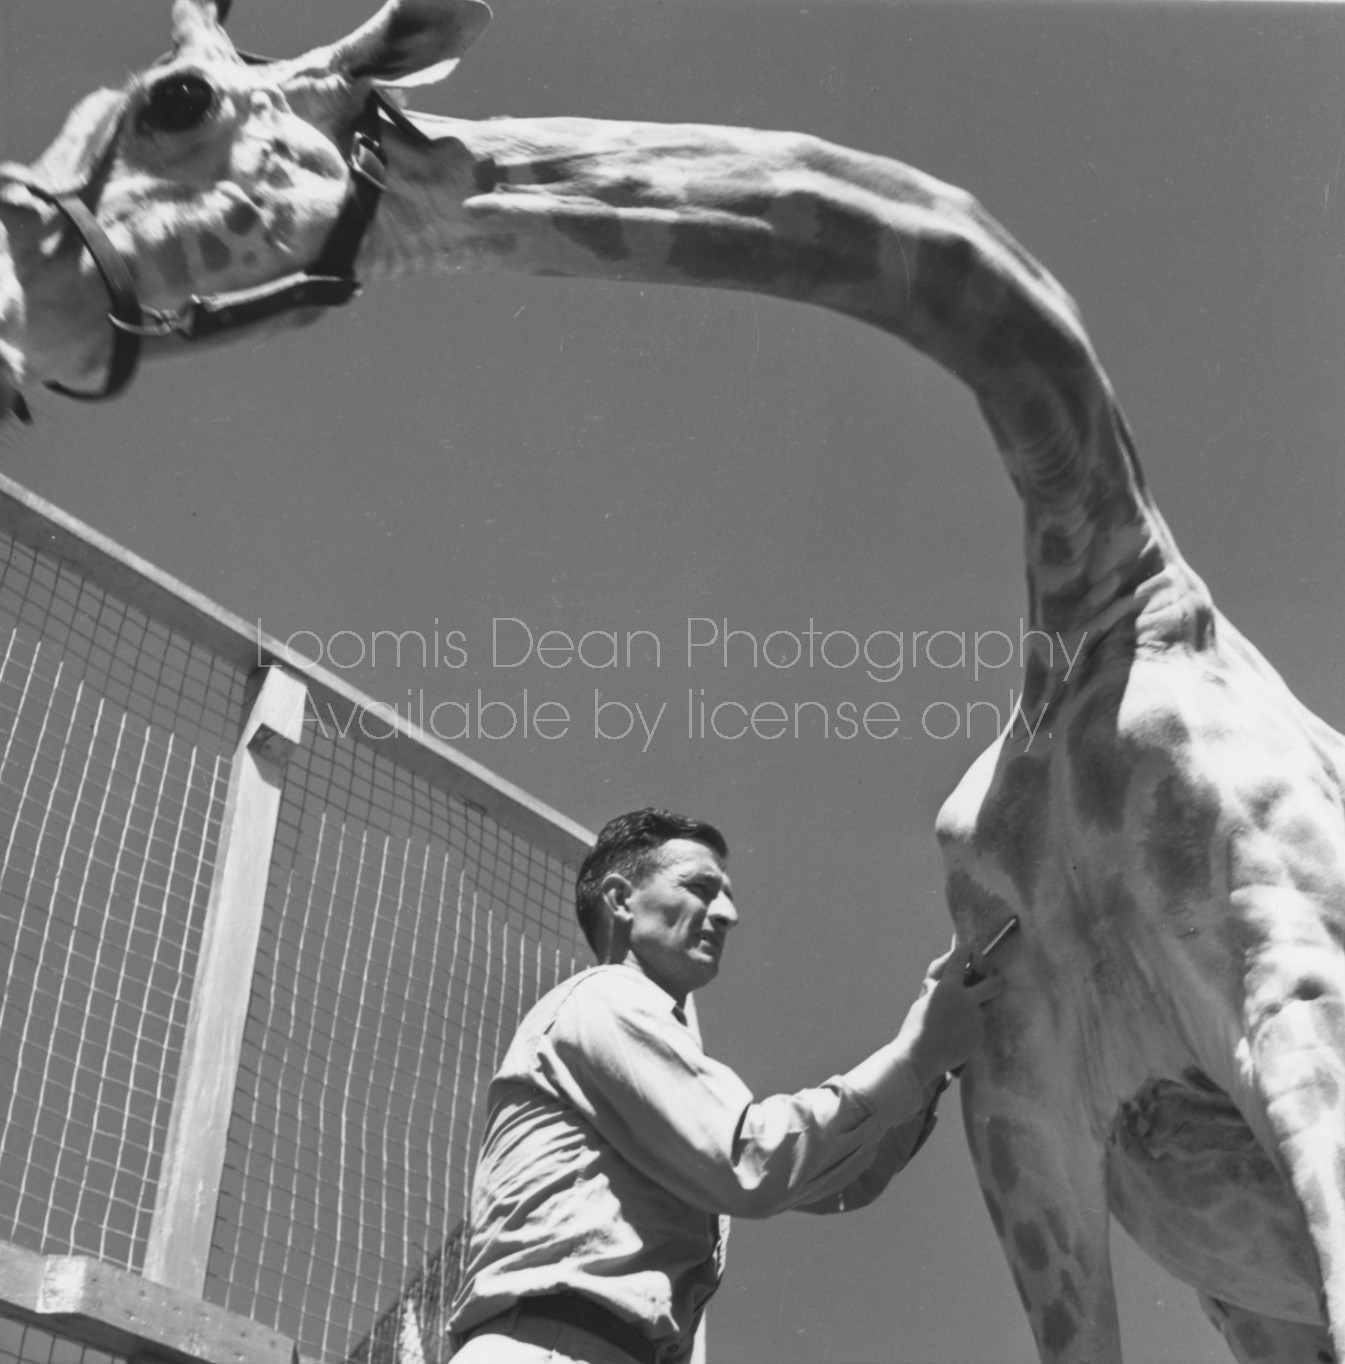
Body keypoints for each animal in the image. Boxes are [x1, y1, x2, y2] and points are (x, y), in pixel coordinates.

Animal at [7, 2, 1342, 1364]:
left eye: (173, 101)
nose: (18, 280)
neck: (1096, 612)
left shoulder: (1293, 985)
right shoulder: (1022, 1102)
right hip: (1240, 1282)